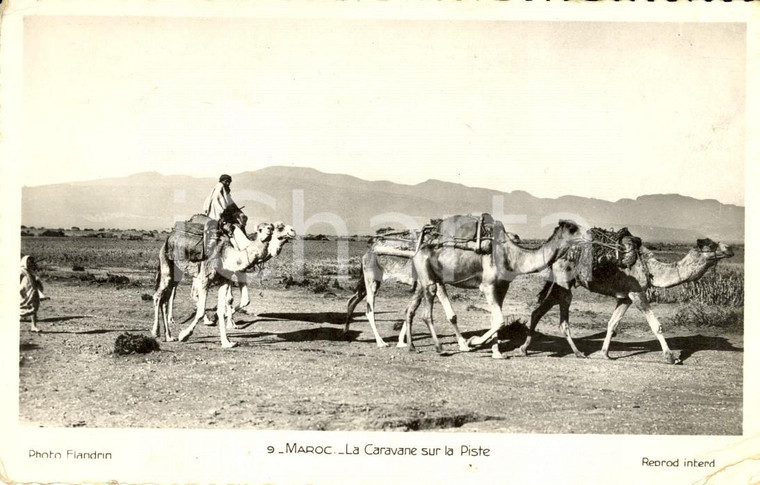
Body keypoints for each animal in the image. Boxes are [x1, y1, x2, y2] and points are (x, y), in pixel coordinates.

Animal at [346, 231, 520, 348]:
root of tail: (368, 252)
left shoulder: (427, 284)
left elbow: (410, 310)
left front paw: (402, 342)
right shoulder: (434, 281)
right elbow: (448, 314)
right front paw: (464, 344)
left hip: (371, 281)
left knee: (353, 300)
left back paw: (346, 332)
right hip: (371, 279)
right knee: (369, 309)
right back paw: (381, 342)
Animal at [404, 218, 588, 356]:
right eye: (572, 228)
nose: (589, 234)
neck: (512, 257)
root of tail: (418, 249)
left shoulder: (502, 287)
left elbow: (495, 319)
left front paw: (496, 352)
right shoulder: (488, 286)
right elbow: (499, 319)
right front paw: (474, 341)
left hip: (431, 277)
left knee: (416, 306)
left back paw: (411, 346)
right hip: (426, 273)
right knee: (427, 308)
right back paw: (440, 348)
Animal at [520, 236, 732, 364]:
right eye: (711, 245)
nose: (729, 248)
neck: (651, 268)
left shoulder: (625, 298)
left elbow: (612, 324)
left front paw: (605, 354)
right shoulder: (637, 293)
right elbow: (656, 325)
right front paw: (671, 357)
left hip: (561, 285)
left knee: (538, 311)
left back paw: (524, 349)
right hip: (564, 282)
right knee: (560, 317)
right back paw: (578, 352)